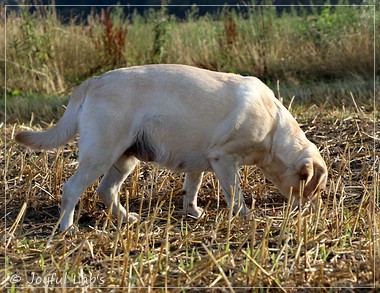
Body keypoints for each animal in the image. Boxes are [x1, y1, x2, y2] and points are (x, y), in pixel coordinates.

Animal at [15, 64, 326, 230]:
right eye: (314, 187)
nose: (311, 209)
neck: (274, 128)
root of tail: (92, 82)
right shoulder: (224, 159)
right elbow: (235, 193)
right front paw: (245, 215)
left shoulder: (201, 161)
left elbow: (192, 189)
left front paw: (193, 212)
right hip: (100, 154)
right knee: (72, 188)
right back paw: (67, 227)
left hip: (125, 158)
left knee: (106, 190)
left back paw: (126, 218)